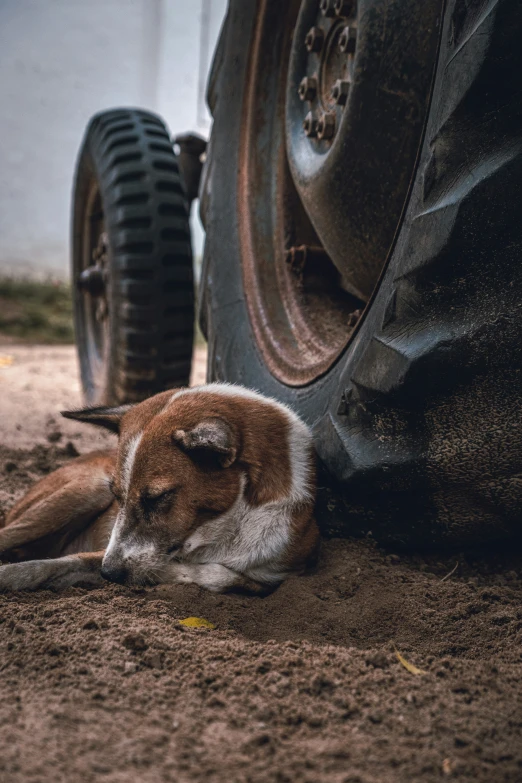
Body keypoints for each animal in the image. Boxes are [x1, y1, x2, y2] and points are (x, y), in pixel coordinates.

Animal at [0, 384, 316, 596]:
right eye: (117, 497)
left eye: (158, 498)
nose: (109, 574)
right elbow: (46, 566)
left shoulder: (277, 574)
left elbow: (223, 577)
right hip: (85, 491)